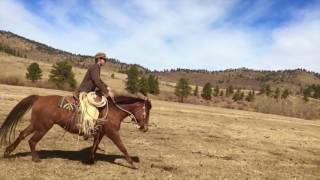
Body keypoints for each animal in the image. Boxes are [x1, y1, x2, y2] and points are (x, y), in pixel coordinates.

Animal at [0, 94, 152, 167]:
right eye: (146, 112)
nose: (145, 128)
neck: (113, 111)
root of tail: (40, 97)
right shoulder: (112, 133)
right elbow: (122, 147)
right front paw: (132, 164)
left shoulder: (101, 133)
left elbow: (95, 146)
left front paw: (90, 160)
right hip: (43, 126)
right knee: (32, 140)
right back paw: (35, 158)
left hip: (36, 124)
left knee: (22, 134)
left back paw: (8, 151)